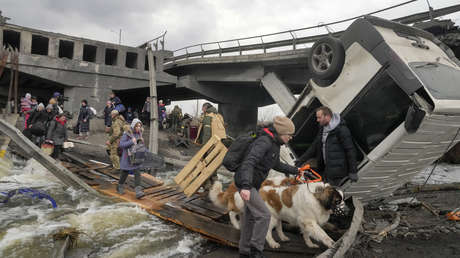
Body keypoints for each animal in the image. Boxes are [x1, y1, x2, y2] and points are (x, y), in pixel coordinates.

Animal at [210, 176, 344, 249]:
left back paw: (282, 237)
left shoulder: (304, 222)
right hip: (271, 217)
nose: (345, 209)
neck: (316, 197)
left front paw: (310, 244)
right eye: (337, 201)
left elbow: (306, 234)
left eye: (342, 199)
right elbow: (322, 233)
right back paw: (272, 243)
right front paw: (331, 242)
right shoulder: (309, 221)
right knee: (266, 231)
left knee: (277, 227)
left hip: (276, 214)